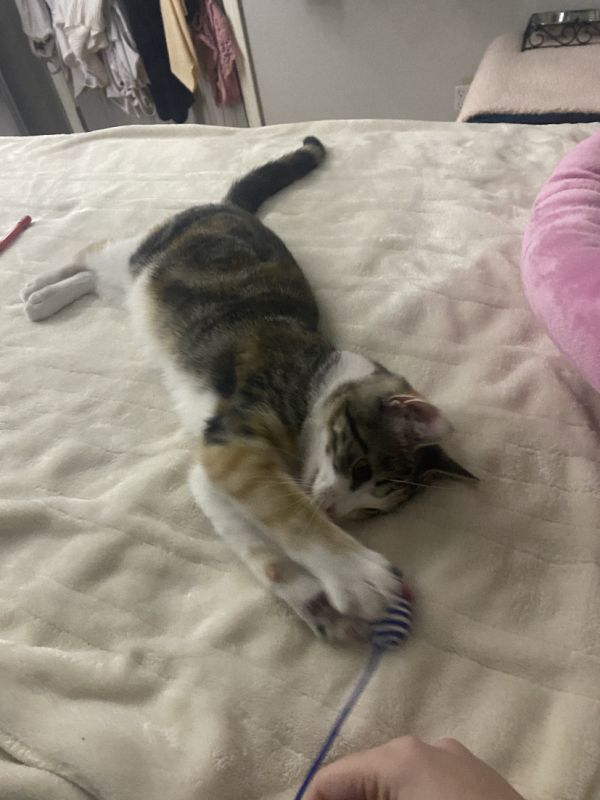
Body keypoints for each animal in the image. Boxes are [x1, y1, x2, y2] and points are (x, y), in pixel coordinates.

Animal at [24, 134, 474, 640]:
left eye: (372, 510)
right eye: (360, 469)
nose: (338, 512)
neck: (315, 375)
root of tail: (230, 207)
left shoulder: (211, 467)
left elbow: (243, 525)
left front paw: (314, 600)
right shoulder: (234, 439)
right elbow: (284, 505)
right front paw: (357, 576)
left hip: (130, 289)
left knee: (97, 278)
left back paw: (48, 296)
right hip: (142, 256)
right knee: (94, 249)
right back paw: (39, 288)